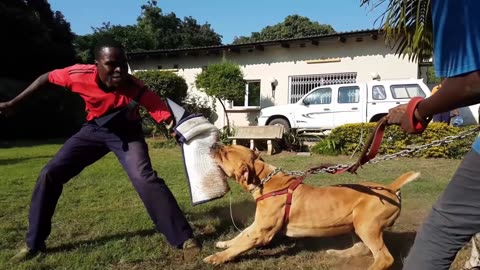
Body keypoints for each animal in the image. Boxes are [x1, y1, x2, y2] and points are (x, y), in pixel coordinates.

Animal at [204, 144, 418, 268]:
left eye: (225, 153)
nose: (214, 145)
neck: (264, 178)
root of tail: (391, 188)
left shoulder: (261, 232)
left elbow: (240, 245)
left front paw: (218, 257)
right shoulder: (257, 225)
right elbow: (241, 235)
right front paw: (225, 243)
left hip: (368, 226)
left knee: (384, 258)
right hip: (356, 224)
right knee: (362, 249)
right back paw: (338, 253)